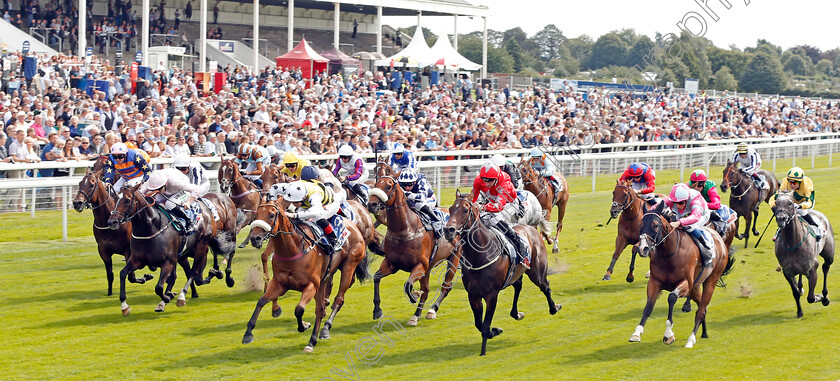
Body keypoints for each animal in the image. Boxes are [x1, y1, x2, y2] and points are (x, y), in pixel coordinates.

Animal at [109, 185, 236, 314]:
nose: (111, 221)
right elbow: (123, 274)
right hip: (187, 253)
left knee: (195, 272)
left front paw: (168, 296)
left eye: (127, 200)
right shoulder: (138, 260)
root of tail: (206, 208)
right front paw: (124, 306)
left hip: (203, 245)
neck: (151, 229)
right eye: (115, 199)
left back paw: (183, 295)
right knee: (195, 276)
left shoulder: (168, 262)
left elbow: (159, 287)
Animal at [238, 200, 366, 352]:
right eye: (256, 214)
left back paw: (322, 332)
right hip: (325, 278)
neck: (293, 249)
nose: (254, 238)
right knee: (321, 309)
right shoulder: (279, 284)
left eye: (271, 215)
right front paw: (248, 334)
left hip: (349, 266)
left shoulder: (311, 285)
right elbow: (261, 301)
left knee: (338, 300)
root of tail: (353, 225)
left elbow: (299, 309)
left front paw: (303, 326)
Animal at [368, 175, 460, 324]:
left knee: (446, 286)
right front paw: (377, 311)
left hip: (454, 257)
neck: (404, 230)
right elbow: (376, 278)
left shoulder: (420, 265)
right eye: (376, 184)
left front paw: (414, 296)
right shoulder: (392, 264)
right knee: (426, 290)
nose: (372, 204)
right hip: (428, 268)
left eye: (388, 186)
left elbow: (408, 285)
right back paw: (416, 315)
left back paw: (432, 310)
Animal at [440, 193, 564, 356]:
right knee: (518, 286)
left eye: (465, 210)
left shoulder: (492, 295)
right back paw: (517, 314)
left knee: (546, 287)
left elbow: (485, 325)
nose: (449, 230)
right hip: (516, 273)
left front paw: (483, 352)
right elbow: (479, 324)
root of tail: (531, 228)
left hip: (537, 272)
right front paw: (495, 331)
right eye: (450, 209)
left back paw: (554, 307)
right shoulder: (473, 295)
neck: (480, 255)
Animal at [632, 205, 736, 348]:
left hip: (710, 281)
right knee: (703, 307)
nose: (643, 248)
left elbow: (672, 297)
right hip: (695, 287)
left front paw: (668, 335)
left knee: (701, 310)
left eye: (655, 225)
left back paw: (691, 340)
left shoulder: (685, 283)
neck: (669, 254)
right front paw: (636, 333)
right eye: (640, 225)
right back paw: (704, 333)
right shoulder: (654, 282)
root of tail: (720, 240)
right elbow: (648, 307)